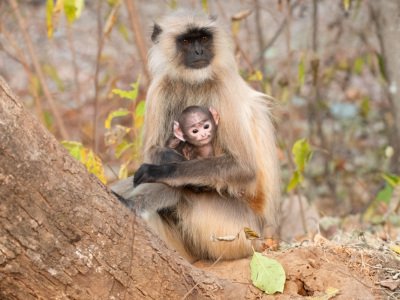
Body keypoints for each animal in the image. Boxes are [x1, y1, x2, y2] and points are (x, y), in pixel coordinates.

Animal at [111, 10, 282, 262]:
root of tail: (267, 237)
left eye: (202, 38)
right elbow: (152, 150)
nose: (199, 52)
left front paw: (163, 170)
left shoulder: (223, 87)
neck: (194, 81)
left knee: (181, 188)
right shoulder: (160, 87)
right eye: (186, 41)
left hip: (236, 232)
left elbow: (243, 167)